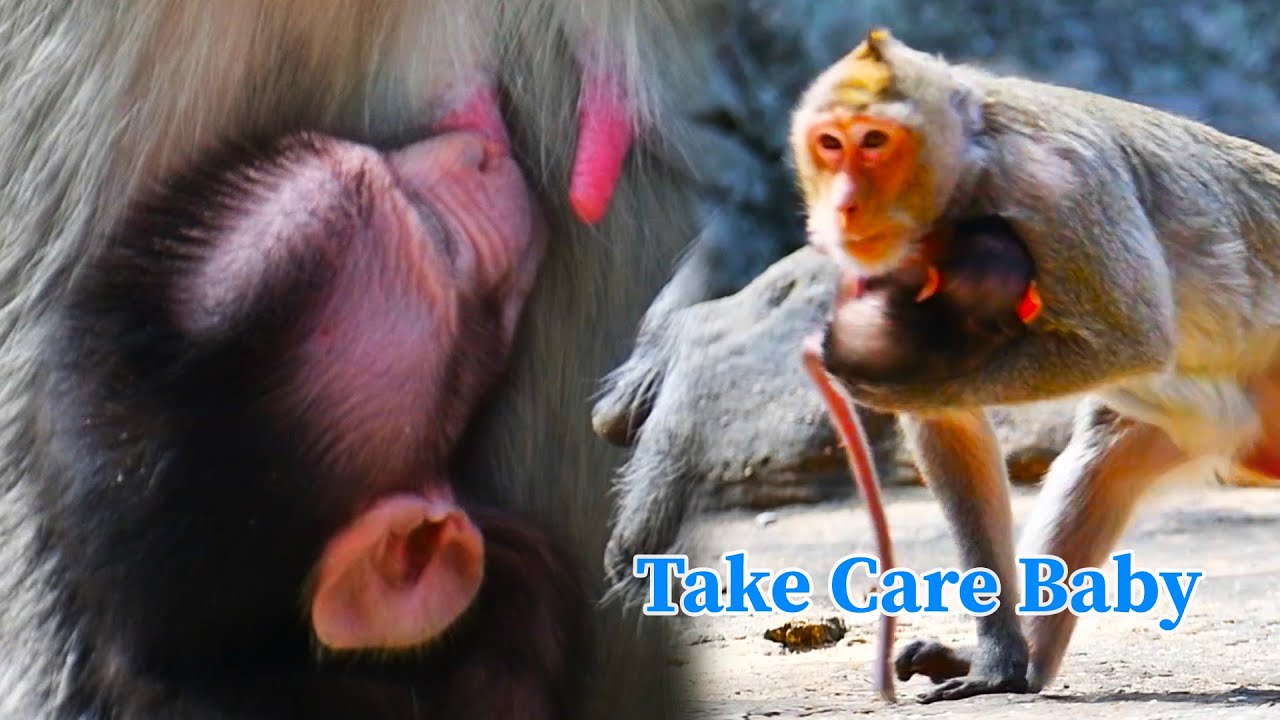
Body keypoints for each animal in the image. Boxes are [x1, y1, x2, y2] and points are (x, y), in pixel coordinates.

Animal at [789, 28, 1280, 703]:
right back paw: (1030, 665)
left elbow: (1131, 337)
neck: (973, 166)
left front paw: (885, 381)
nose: (844, 206)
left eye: (874, 141)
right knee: (1105, 458)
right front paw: (995, 659)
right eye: (830, 144)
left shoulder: (1061, 189)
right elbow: (951, 423)